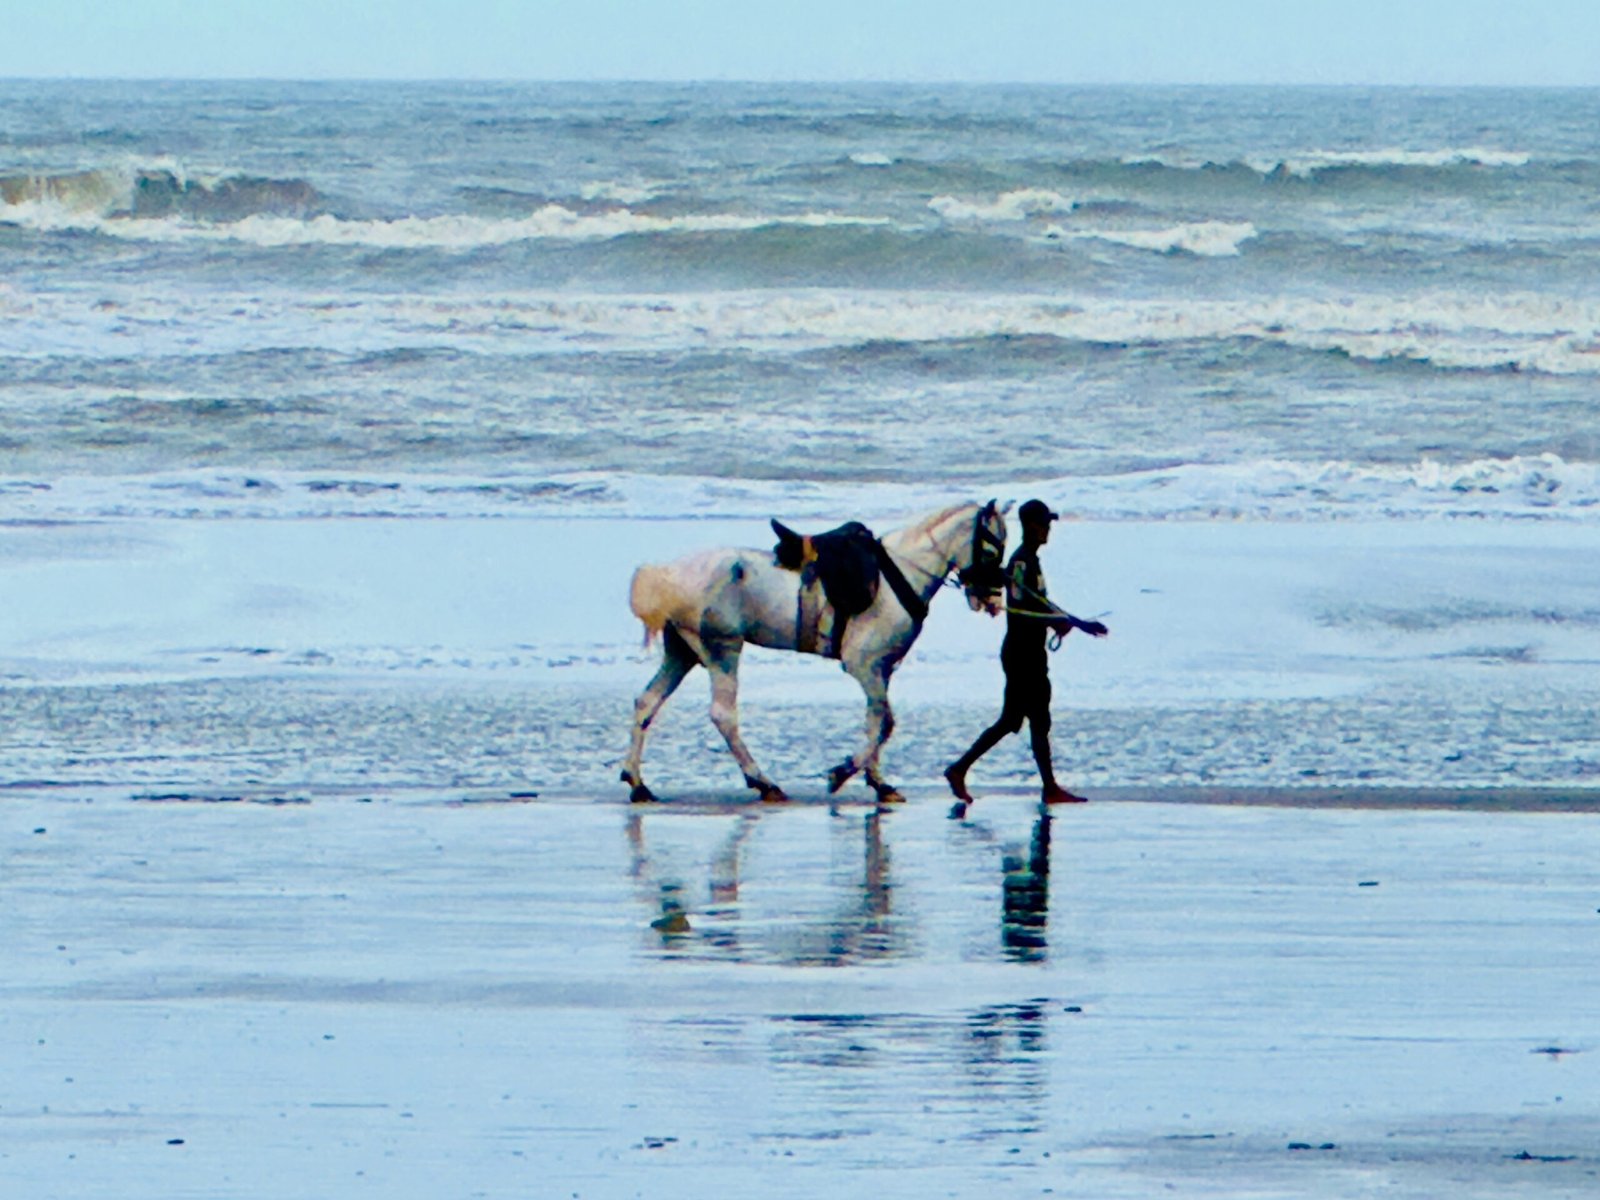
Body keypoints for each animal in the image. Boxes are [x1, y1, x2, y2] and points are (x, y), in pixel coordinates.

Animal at [621, 500, 1009, 805]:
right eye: (992, 550)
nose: (991, 599)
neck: (897, 573)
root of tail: (669, 575)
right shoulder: (862, 664)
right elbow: (884, 723)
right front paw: (842, 772)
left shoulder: (882, 668)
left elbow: (876, 721)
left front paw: (878, 781)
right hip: (722, 649)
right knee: (722, 715)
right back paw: (763, 781)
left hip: (683, 653)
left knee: (647, 702)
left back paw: (637, 782)